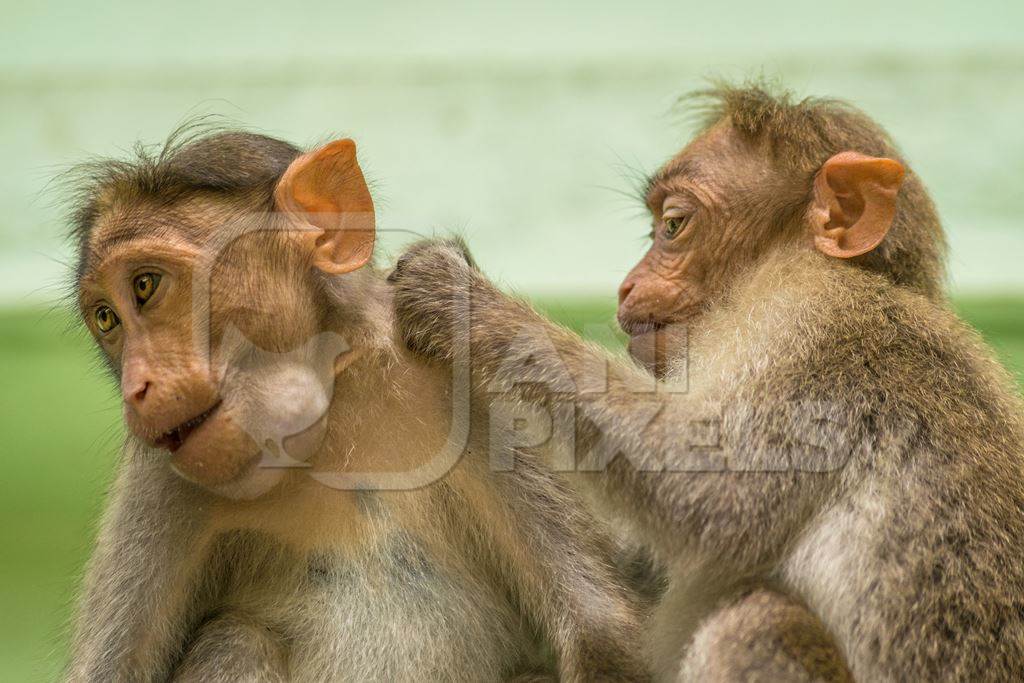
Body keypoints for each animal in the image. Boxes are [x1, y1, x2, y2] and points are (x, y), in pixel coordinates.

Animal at [66, 131, 647, 679]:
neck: (335, 399)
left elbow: (599, 628)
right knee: (235, 640)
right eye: (106, 318)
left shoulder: (474, 392)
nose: (136, 387)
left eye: (145, 286)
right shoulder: (163, 478)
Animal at [387, 85, 1024, 683]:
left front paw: (461, 300)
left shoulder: (807, 327)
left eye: (673, 225)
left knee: (754, 621)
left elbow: (708, 490)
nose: (626, 284)